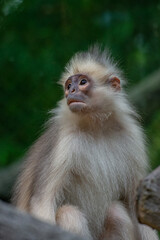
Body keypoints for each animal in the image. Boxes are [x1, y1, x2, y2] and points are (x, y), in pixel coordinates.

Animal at [11, 47, 158, 240]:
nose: (71, 90)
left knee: (116, 212)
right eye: (68, 86)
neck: (96, 129)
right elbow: (42, 202)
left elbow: (139, 211)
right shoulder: (64, 140)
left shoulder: (133, 136)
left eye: (82, 82)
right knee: (69, 213)